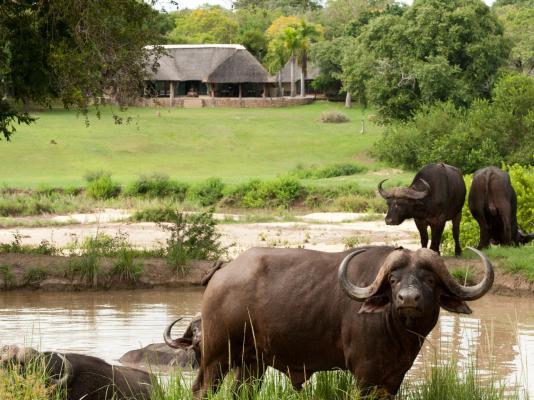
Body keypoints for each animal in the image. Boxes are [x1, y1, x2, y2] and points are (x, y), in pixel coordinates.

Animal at [192, 244, 494, 396]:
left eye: (430, 279)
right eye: (393, 280)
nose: (408, 298)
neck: (399, 337)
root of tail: (221, 273)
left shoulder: (393, 379)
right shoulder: (365, 375)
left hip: (253, 363)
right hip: (216, 358)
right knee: (202, 390)